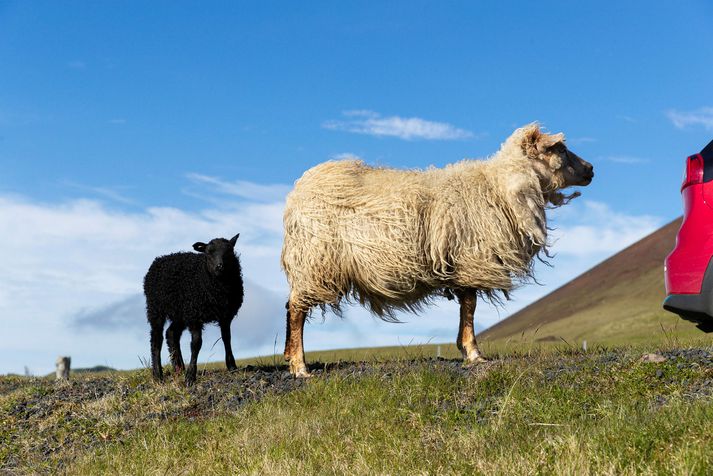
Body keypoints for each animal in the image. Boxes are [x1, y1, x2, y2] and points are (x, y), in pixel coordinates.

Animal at [144, 232, 245, 384]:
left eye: (229, 251)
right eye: (208, 252)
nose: (219, 266)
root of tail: (159, 259)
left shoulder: (225, 315)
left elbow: (227, 338)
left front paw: (232, 366)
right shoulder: (194, 315)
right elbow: (196, 343)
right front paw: (191, 376)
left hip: (180, 312)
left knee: (171, 334)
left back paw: (179, 368)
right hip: (156, 308)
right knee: (156, 339)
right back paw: (158, 375)